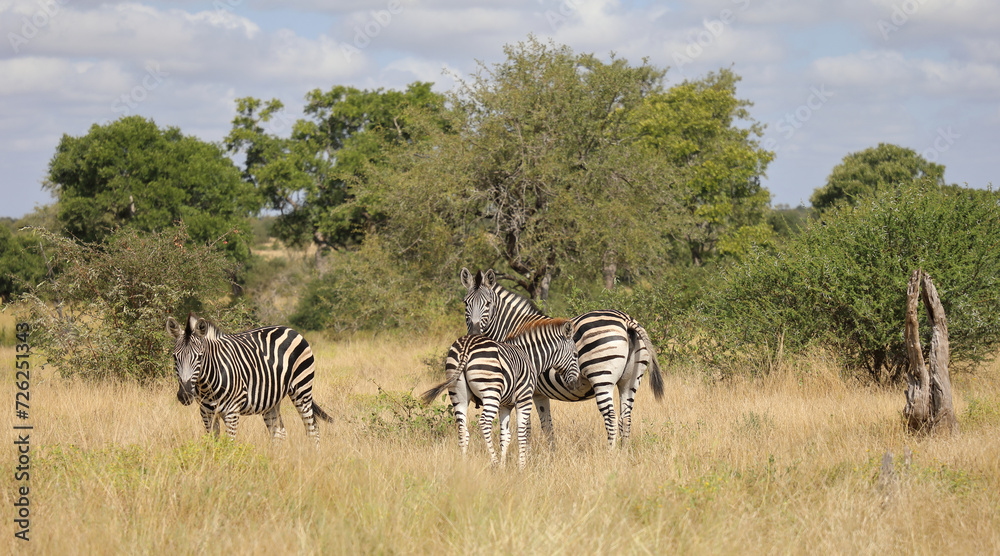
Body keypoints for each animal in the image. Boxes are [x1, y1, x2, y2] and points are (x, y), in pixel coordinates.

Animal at [166, 314, 333, 444]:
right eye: (174, 357)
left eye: (200, 357)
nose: (185, 395)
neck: (207, 385)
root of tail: (290, 329)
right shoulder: (206, 413)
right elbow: (213, 444)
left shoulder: (232, 412)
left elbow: (228, 445)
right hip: (271, 400)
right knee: (278, 433)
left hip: (302, 389)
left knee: (313, 430)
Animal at [421, 319, 580, 469]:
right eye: (575, 354)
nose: (575, 383)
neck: (530, 357)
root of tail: (467, 345)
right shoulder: (524, 399)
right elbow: (522, 433)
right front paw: (522, 466)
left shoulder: (505, 405)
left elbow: (506, 436)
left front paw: (504, 468)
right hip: (490, 393)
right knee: (484, 423)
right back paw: (494, 462)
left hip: (458, 395)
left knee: (462, 429)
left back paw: (464, 464)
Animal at [459, 267, 664, 448]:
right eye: (465, 303)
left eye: (488, 304)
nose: (475, 333)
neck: (513, 326)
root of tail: (626, 320)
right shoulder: (539, 393)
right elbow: (547, 427)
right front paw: (550, 455)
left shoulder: (524, 388)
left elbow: (526, 428)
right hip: (630, 381)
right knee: (626, 419)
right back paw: (624, 454)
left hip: (602, 377)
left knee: (611, 419)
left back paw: (611, 455)